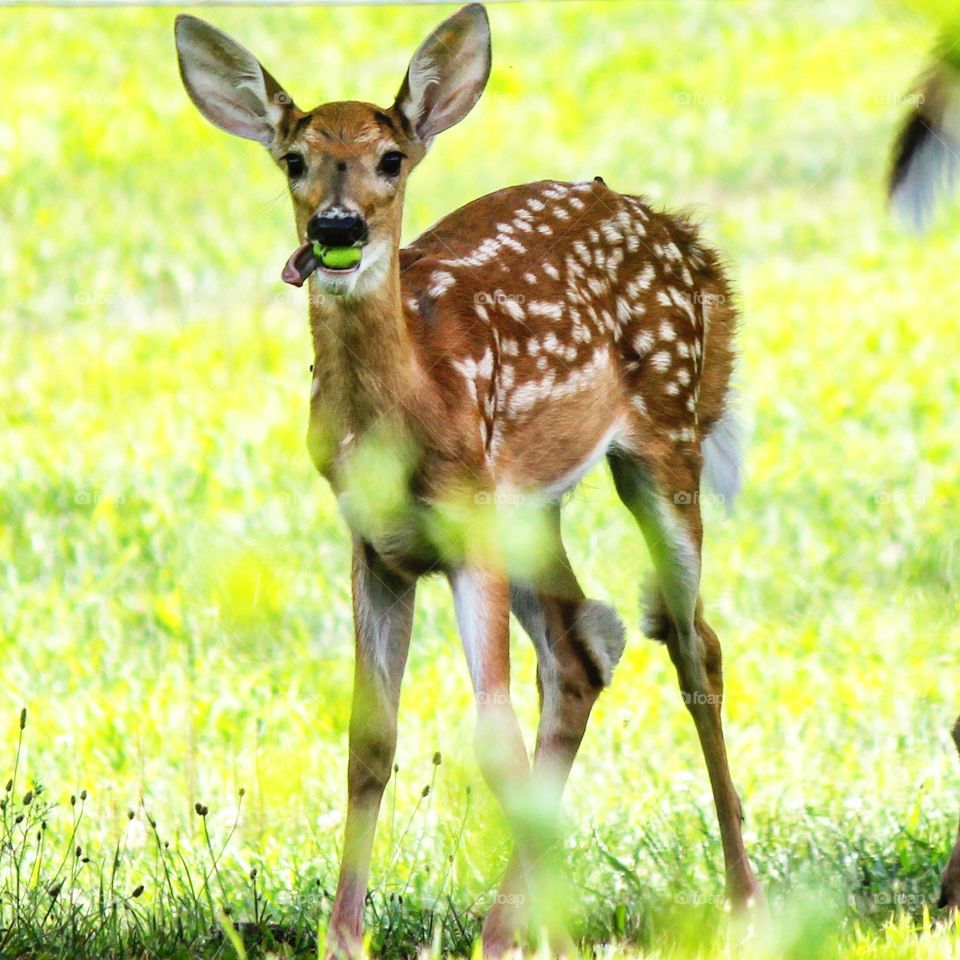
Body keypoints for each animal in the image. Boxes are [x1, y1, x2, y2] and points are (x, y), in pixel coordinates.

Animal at [174, 4, 763, 953]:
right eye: (294, 158)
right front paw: (344, 937)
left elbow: (494, 736)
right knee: (585, 648)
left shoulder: (468, 527)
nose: (337, 228)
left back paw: (742, 897)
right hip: (536, 507)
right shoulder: (375, 544)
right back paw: (520, 924)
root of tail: (678, 231)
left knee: (690, 643)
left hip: (666, 439)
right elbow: (370, 740)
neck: (409, 408)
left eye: (391, 157)